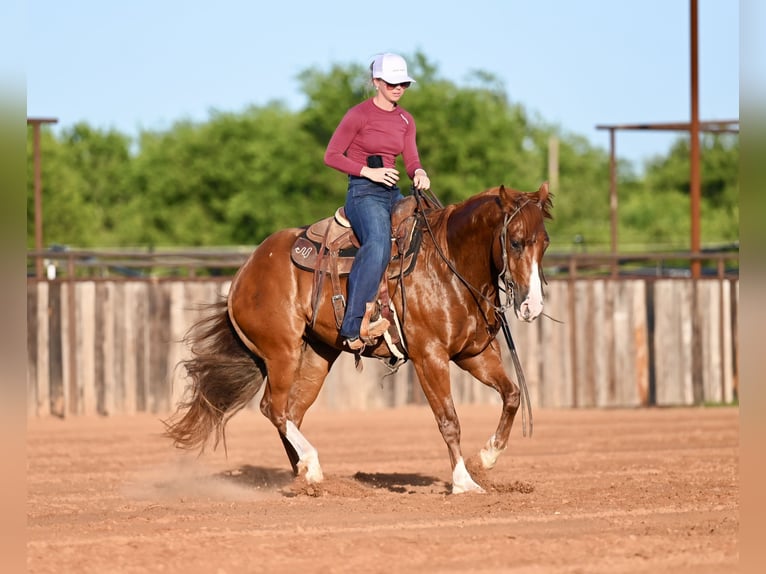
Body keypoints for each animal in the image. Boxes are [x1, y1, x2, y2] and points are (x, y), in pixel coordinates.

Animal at [164, 182, 553, 493]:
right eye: (516, 242)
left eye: (545, 243)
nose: (532, 306)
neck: (448, 265)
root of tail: (244, 272)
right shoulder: (430, 356)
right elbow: (449, 421)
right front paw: (463, 482)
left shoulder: (474, 354)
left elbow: (512, 395)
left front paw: (485, 459)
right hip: (282, 352)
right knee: (273, 408)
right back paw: (312, 467)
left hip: (317, 355)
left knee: (291, 412)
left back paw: (304, 476)